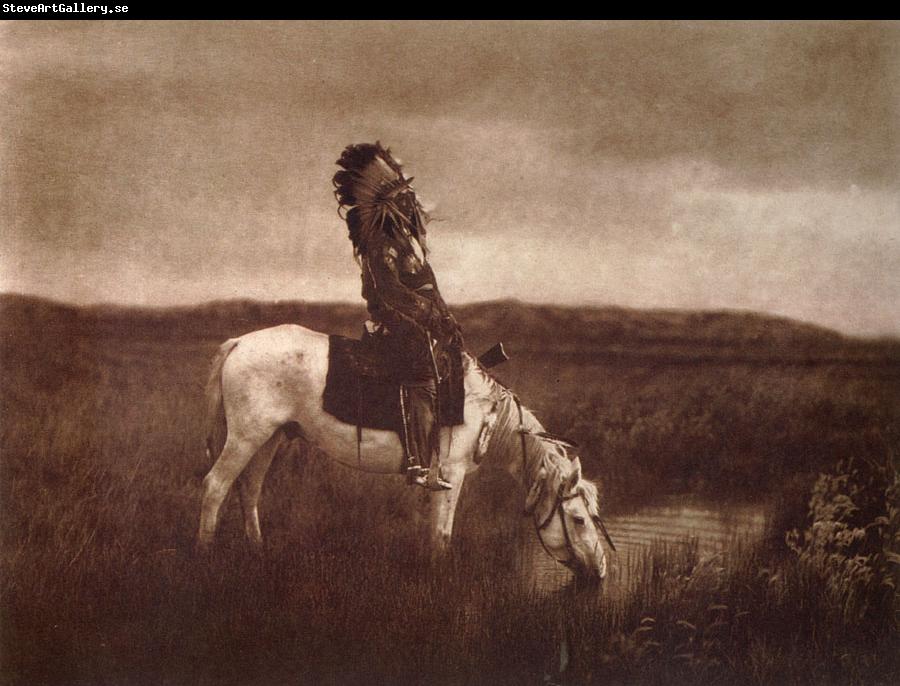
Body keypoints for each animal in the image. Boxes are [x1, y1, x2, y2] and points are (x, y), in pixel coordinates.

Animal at [199, 326, 612, 584]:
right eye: (578, 520)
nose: (601, 572)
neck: (485, 413)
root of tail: (239, 343)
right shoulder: (451, 474)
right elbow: (442, 534)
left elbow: (432, 530)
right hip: (245, 436)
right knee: (216, 487)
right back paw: (205, 556)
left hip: (269, 438)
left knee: (249, 490)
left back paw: (258, 552)